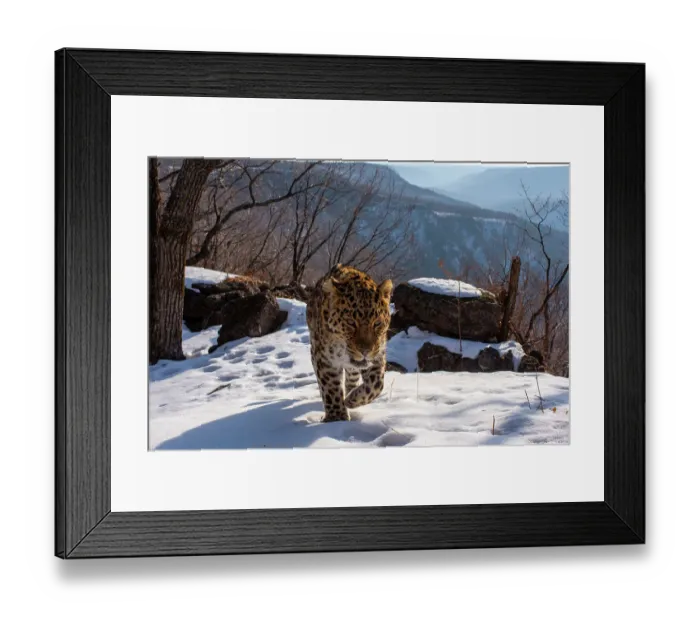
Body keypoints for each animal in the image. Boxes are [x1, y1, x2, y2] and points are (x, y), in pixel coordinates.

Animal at [305, 264, 393, 422]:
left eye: (377, 323)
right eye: (351, 322)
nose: (365, 350)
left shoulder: (378, 354)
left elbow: (376, 384)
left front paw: (352, 400)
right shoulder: (323, 358)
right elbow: (330, 387)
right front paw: (336, 417)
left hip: (353, 369)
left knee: (351, 380)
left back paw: (349, 394)